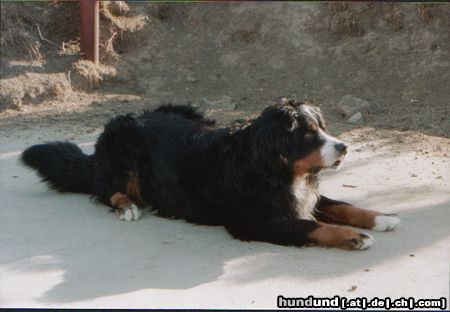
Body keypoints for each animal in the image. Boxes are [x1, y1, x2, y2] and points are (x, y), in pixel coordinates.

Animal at [21, 98, 400, 250]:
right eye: (307, 133)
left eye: (322, 127)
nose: (343, 147)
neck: (265, 165)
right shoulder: (255, 220)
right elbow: (312, 226)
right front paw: (353, 237)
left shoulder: (300, 195)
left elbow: (340, 205)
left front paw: (380, 217)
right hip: (119, 148)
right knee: (105, 190)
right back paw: (127, 206)